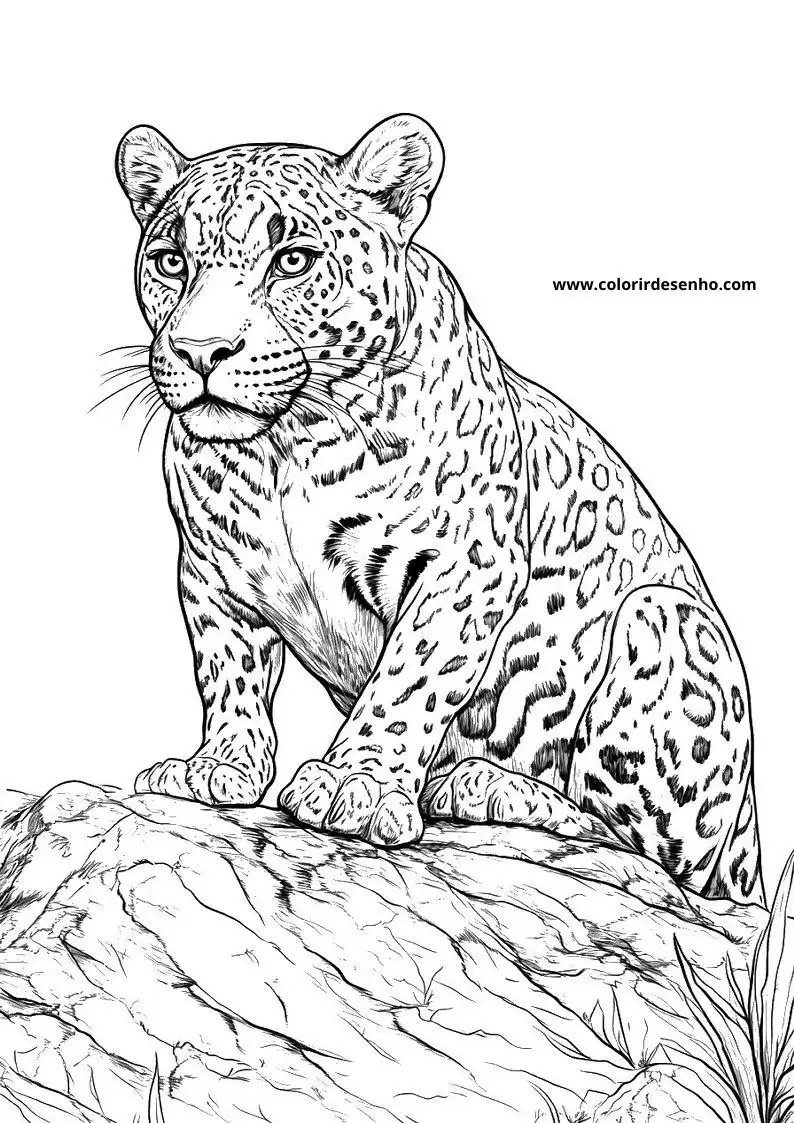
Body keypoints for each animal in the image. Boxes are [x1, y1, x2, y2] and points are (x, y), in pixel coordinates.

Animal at [115, 114, 764, 905]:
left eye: (293, 259)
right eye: (171, 260)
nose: (200, 350)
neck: (284, 447)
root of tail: (755, 850)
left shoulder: (465, 568)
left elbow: (410, 679)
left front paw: (355, 783)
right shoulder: (212, 572)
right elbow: (229, 675)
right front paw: (220, 765)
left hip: (662, 621)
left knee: (653, 848)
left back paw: (483, 785)